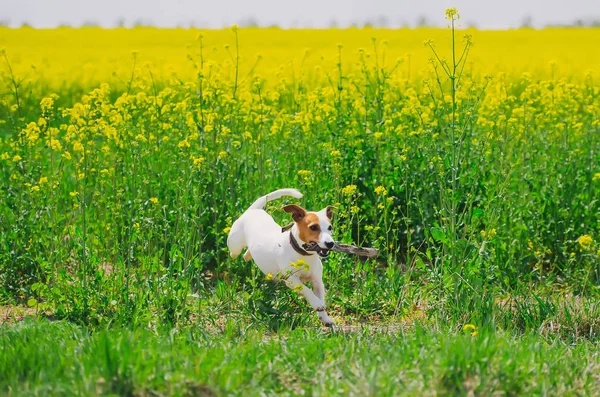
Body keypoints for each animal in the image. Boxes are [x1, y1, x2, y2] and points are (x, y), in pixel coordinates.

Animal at [227, 188, 336, 324]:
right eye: (314, 227)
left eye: (330, 227)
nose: (330, 243)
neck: (303, 255)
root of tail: (253, 210)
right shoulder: (292, 280)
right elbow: (307, 290)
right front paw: (316, 304)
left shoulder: (317, 282)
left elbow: (320, 296)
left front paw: (325, 318)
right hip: (235, 246)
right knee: (234, 252)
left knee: (247, 254)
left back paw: (248, 255)